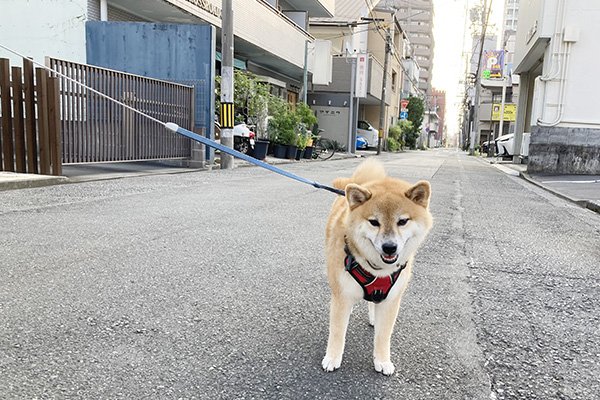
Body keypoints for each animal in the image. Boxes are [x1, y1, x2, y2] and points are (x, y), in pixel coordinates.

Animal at [324, 159, 432, 376]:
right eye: (374, 222)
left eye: (402, 221)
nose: (389, 247)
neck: (376, 269)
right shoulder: (342, 296)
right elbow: (337, 332)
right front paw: (332, 358)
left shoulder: (392, 300)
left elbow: (384, 336)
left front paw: (382, 361)